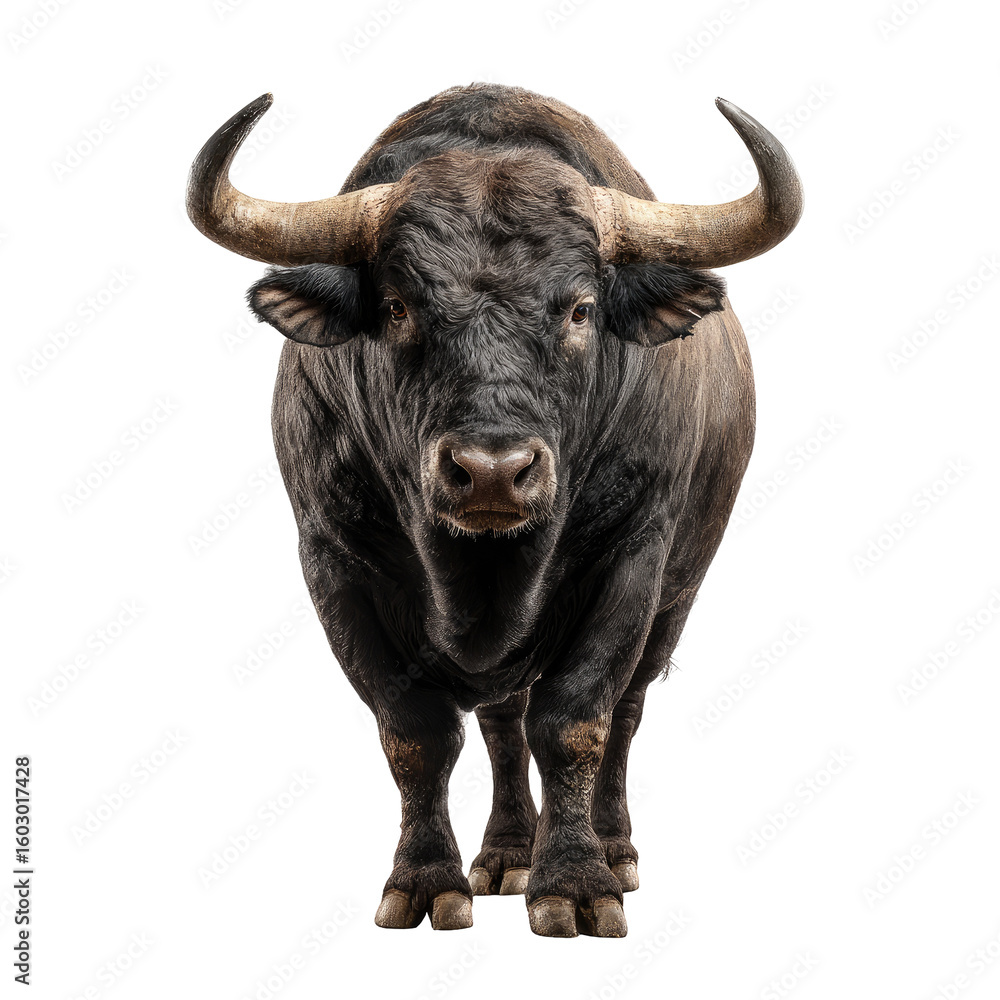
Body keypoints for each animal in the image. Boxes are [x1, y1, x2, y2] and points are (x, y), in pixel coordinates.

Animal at [186, 83, 802, 937]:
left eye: (580, 310)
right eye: (398, 306)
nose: (491, 474)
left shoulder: (633, 559)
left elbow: (576, 720)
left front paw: (576, 883)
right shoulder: (332, 563)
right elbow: (415, 732)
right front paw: (423, 880)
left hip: (677, 596)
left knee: (623, 712)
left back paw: (613, 848)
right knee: (503, 722)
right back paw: (508, 854)